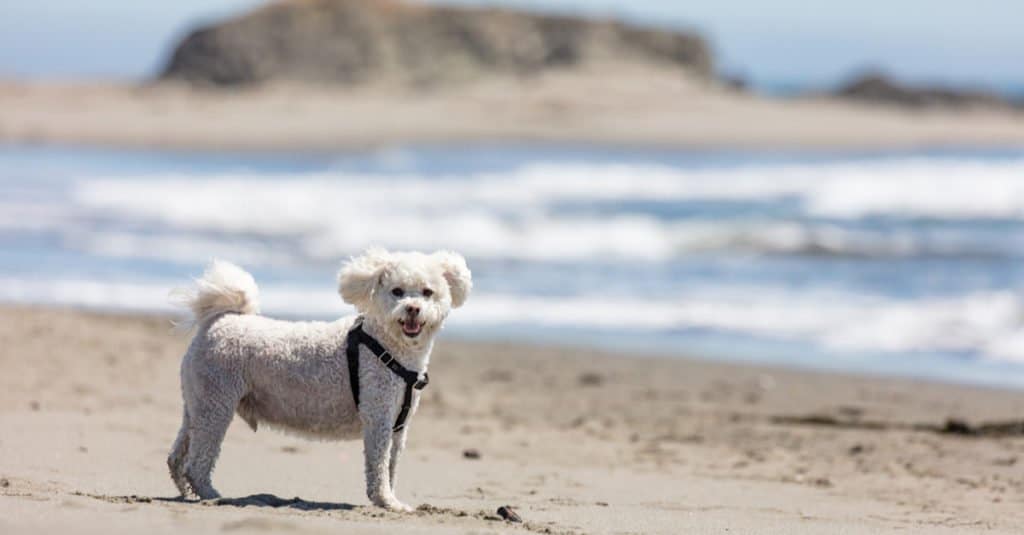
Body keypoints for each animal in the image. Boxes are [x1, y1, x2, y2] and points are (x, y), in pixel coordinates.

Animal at [166, 248, 471, 510]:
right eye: (397, 292)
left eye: (428, 292)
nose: (412, 309)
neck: (386, 345)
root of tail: (218, 321)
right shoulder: (379, 417)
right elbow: (379, 466)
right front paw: (387, 502)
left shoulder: (398, 424)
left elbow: (390, 466)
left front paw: (389, 499)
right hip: (216, 405)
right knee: (197, 463)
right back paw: (212, 496)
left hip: (198, 403)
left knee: (177, 457)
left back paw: (187, 493)